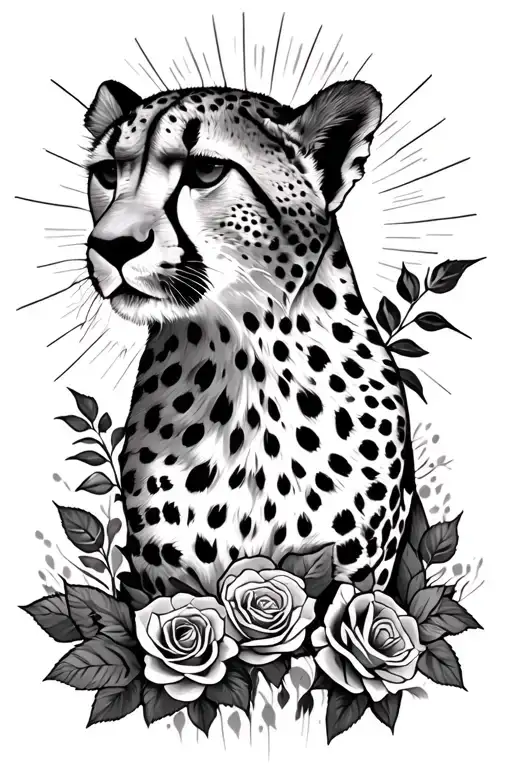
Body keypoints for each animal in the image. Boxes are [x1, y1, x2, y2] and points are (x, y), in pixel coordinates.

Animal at [83, 77, 416, 597]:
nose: (111, 246)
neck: (243, 357)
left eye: (206, 169)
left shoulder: (355, 578)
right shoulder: (171, 582)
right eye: (106, 172)